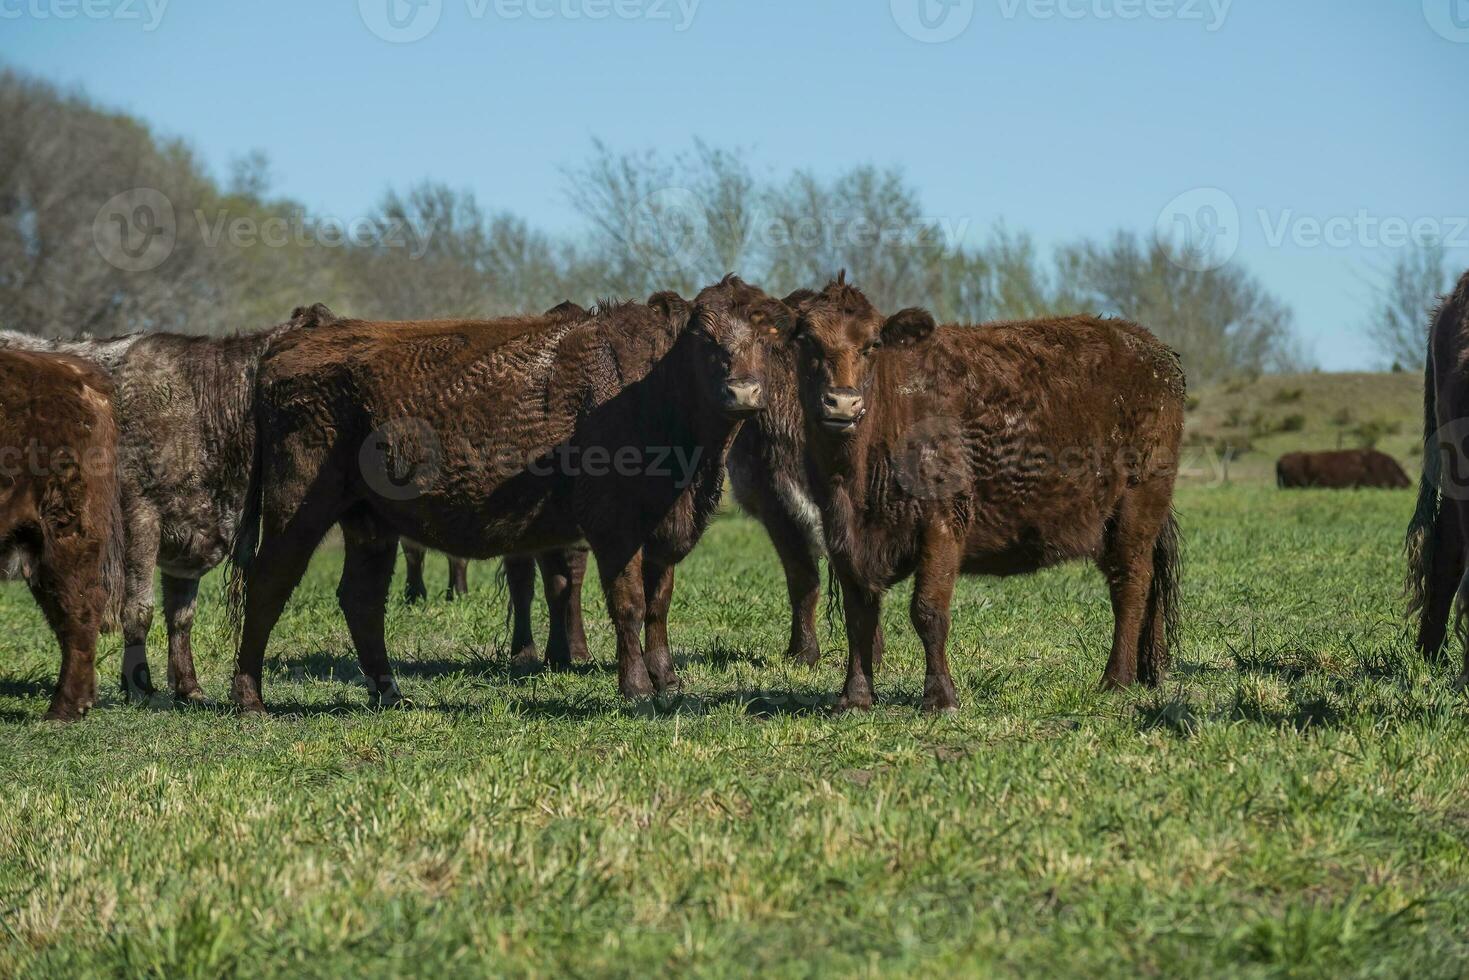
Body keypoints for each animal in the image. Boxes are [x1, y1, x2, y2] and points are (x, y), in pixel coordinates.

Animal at [229, 277, 787, 714]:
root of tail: (303, 335)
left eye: (767, 335)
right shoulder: (614, 527)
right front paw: (637, 691)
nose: (743, 391)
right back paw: (249, 699)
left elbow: (658, 604)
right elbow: (628, 604)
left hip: (369, 522)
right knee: (268, 585)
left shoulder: (664, 530)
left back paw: (390, 694)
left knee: (361, 600)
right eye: (702, 336)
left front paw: (668, 682)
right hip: (296, 511)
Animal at [781, 276, 1181, 714]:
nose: (842, 402)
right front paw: (854, 697)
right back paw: (1148, 673)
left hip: (1137, 507)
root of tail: (1147, 345)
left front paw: (940, 697)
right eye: (807, 341)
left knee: (1131, 585)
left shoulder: (942, 522)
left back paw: (1115, 680)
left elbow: (928, 611)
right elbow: (859, 616)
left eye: (872, 344)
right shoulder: (842, 534)